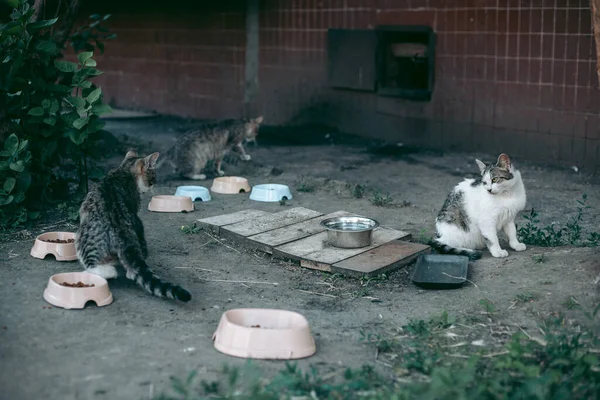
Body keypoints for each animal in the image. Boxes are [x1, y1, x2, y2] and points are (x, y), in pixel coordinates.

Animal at [75, 152, 191, 302]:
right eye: (153, 176)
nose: (154, 183)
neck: (125, 170)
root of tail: (122, 231)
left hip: (83, 236)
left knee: (98, 267)